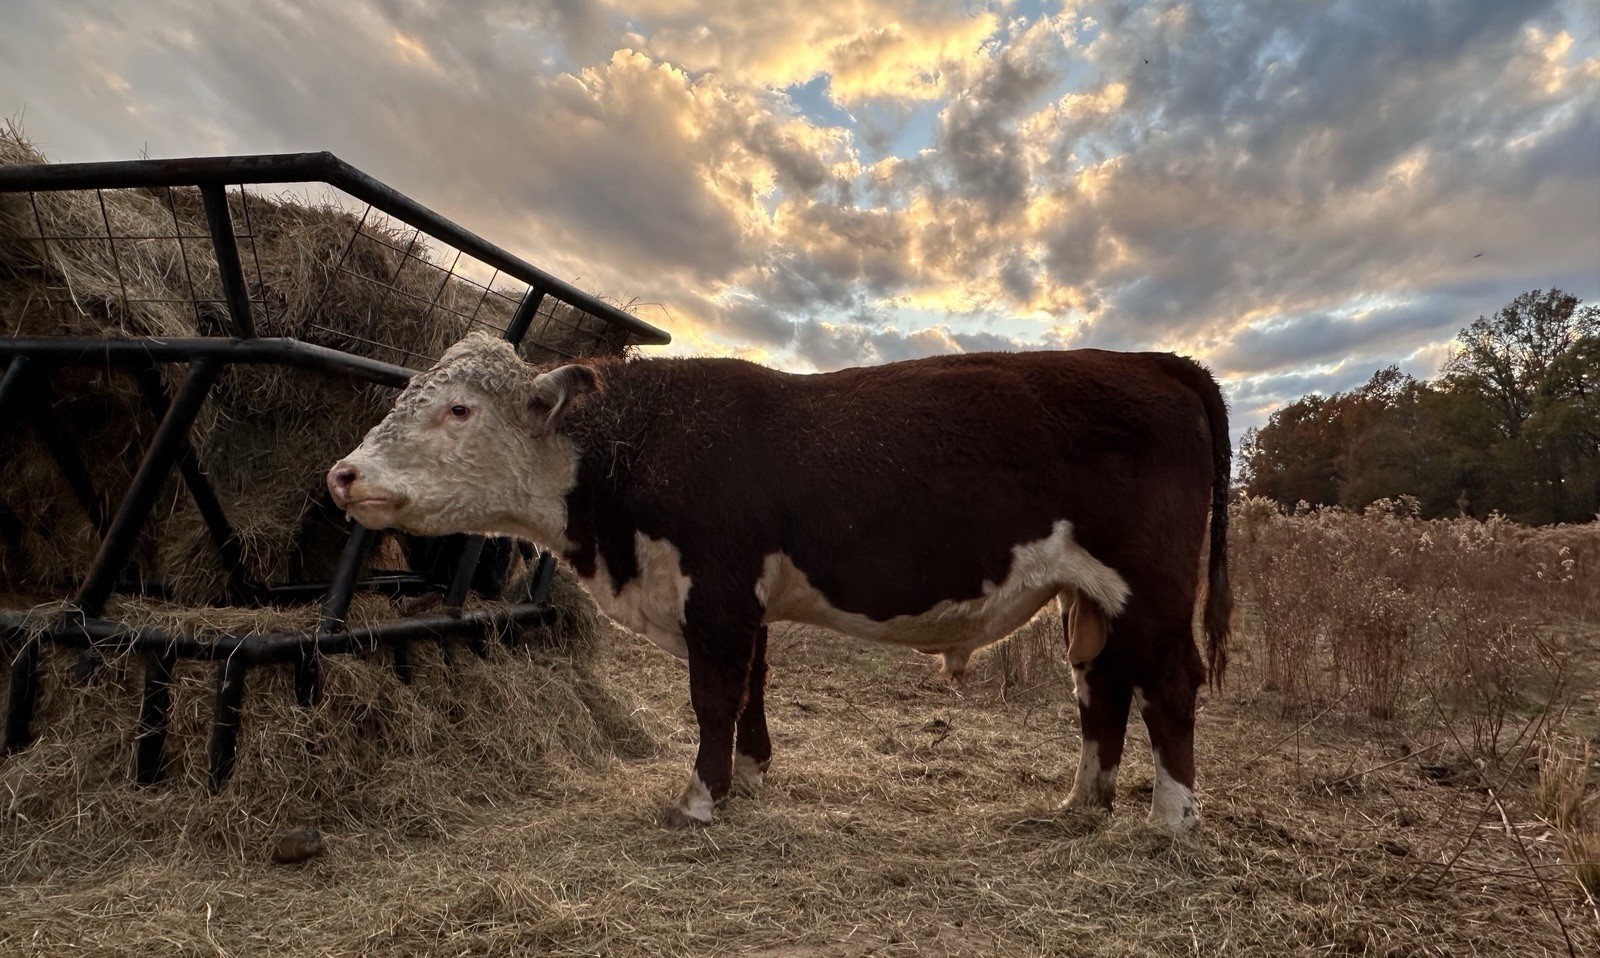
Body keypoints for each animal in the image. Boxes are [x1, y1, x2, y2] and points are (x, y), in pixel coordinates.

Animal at [327, 332, 1232, 832]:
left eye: (459, 410)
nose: (342, 474)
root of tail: (1156, 362)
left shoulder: (716, 591)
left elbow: (713, 696)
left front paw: (700, 798)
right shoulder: (744, 601)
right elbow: (753, 686)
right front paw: (754, 774)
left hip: (1149, 589)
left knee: (1169, 685)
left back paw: (1171, 818)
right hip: (1092, 599)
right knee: (1102, 690)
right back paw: (1085, 803)